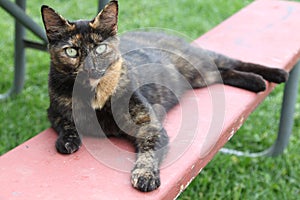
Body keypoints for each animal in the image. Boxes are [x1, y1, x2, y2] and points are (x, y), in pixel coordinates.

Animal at [41, 1, 288, 192]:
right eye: (71, 51)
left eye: (100, 48)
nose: (91, 68)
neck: (96, 94)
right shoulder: (54, 111)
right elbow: (67, 123)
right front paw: (67, 140)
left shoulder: (148, 122)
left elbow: (150, 149)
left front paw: (146, 175)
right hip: (202, 77)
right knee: (225, 72)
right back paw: (256, 82)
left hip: (199, 65)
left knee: (232, 62)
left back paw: (273, 75)